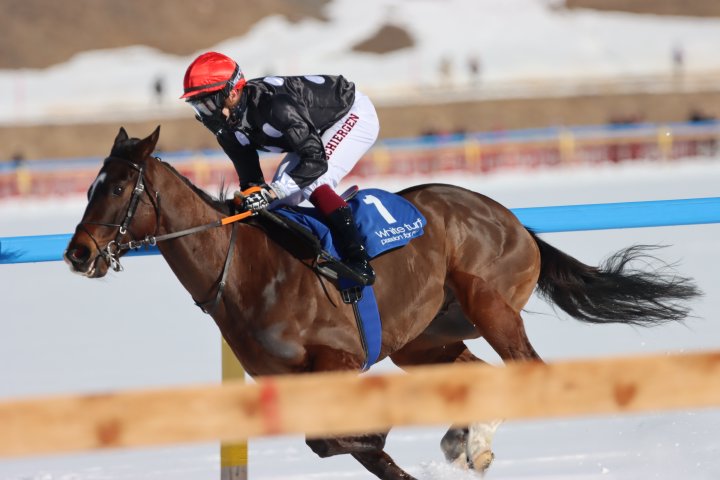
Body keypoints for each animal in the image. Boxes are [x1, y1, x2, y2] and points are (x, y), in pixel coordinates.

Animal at [64, 126, 700, 480]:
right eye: (89, 186)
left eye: (116, 188)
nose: (77, 253)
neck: (249, 270)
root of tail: (512, 219)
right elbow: (349, 451)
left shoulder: (340, 360)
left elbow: (331, 441)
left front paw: (383, 429)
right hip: (423, 340)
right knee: (475, 373)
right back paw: (468, 441)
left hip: (491, 304)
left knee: (527, 371)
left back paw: (472, 438)